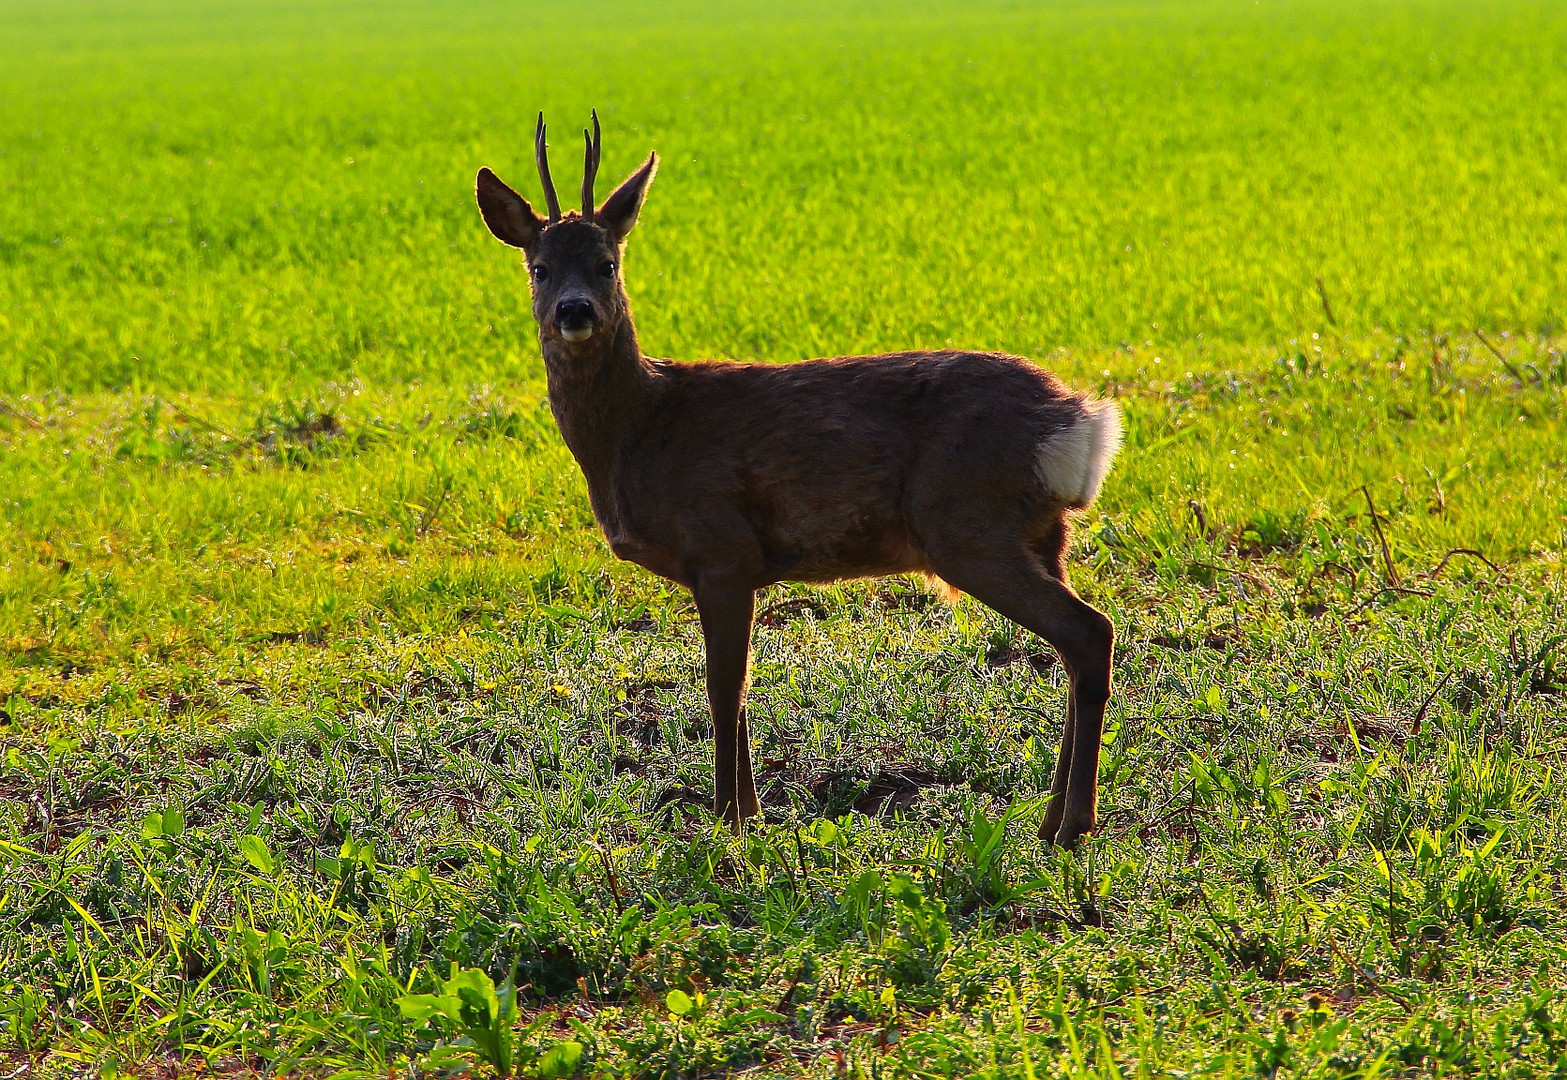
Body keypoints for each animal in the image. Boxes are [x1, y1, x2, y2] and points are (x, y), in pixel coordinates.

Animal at [476, 113, 1128, 846]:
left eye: (606, 263)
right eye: (539, 267)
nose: (575, 310)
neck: (639, 429)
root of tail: (1078, 418)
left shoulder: (721, 549)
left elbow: (722, 688)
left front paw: (729, 821)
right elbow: (736, 690)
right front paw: (751, 812)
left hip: (967, 524)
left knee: (1087, 632)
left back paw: (1073, 825)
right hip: (1042, 534)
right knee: (1077, 642)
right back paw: (1051, 820)